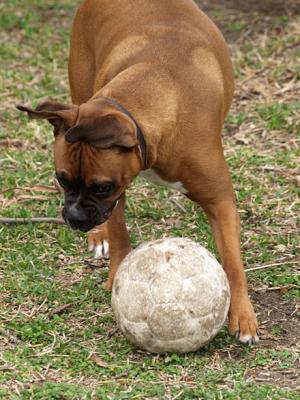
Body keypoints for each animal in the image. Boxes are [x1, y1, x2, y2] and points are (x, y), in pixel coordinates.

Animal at [17, 0, 258, 344]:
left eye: (101, 187)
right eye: (62, 180)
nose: (74, 218)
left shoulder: (219, 199)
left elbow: (234, 263)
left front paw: (242, 314)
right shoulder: (117, 195)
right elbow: (119, 234)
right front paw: (117, 275)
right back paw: (98, 236)